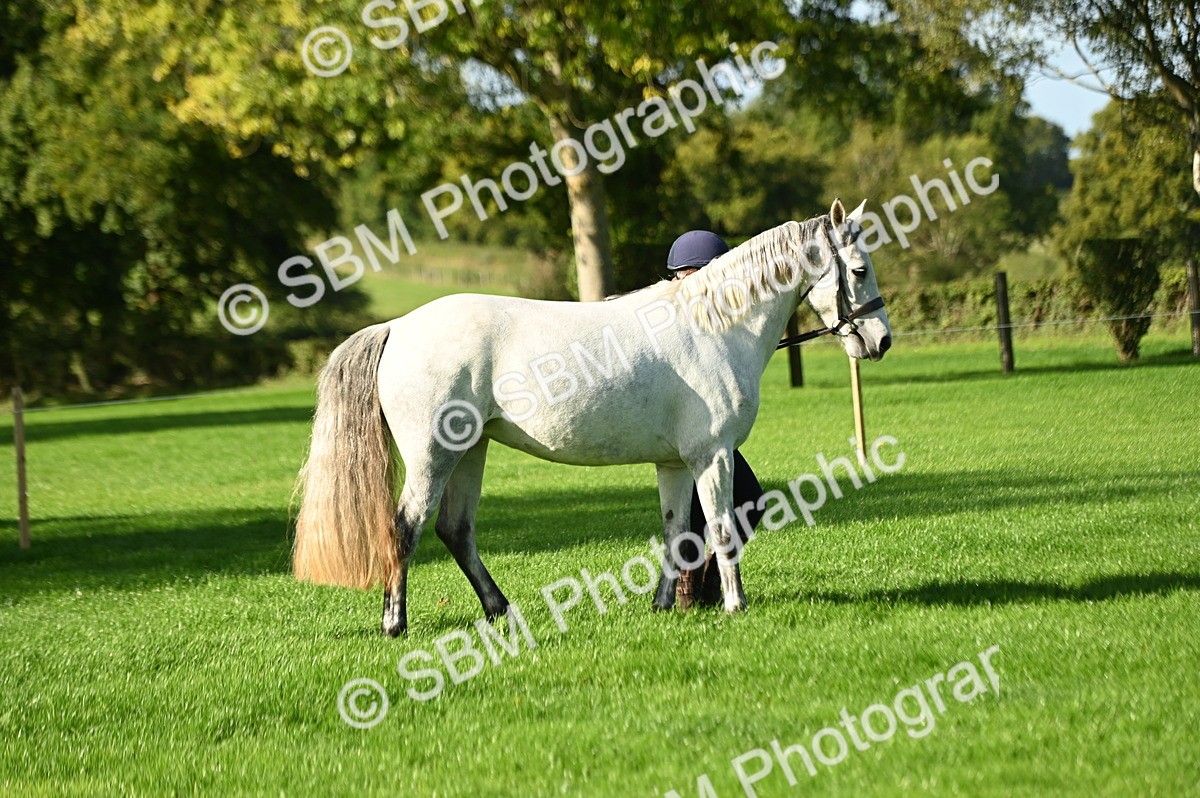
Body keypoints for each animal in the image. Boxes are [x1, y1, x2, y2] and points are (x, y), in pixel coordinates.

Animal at [292, 199, 892, 635]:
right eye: (859, 269)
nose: (881, 341)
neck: (713, 327)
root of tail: (399, 327)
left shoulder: (676, 464)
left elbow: (677, 531)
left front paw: (663, 607)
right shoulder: (712, 456)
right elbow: (721, 527)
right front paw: (734, 605)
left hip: (470, 451)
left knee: (455, 530)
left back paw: (502, 611)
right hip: (432, 457)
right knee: (405, 528)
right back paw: (395, 624)